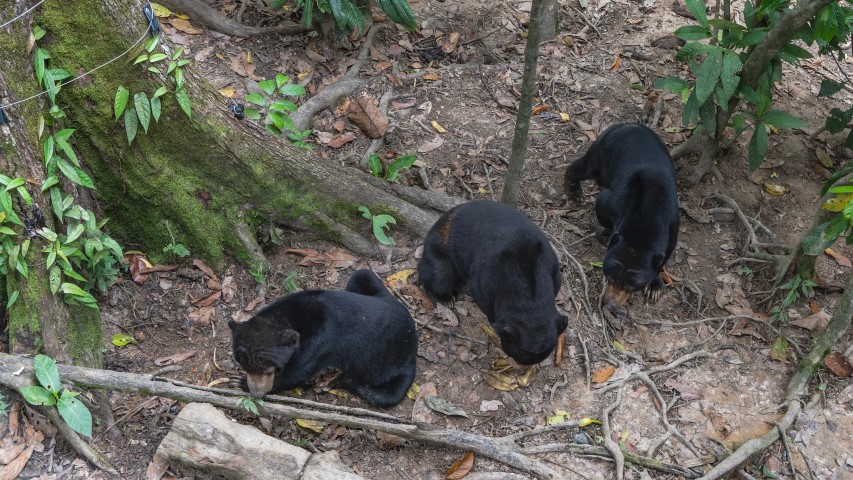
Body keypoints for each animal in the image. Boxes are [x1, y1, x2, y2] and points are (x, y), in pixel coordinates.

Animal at [228, 269, 418, 408]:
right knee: (362, 274)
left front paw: (240, 382)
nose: (256, 393)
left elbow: (297, 373)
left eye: (269, 371)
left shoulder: (319, 343)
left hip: (390, 365)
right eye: (244, 366)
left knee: (383, 395)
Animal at [417, 200, 568, 367]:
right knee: (440, 275)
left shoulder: (553, 271)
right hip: (439, 250)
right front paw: (493, 323)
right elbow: (485, 301)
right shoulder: (486, 277)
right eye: (515, 355)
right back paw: (445, 299)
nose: (520, 367)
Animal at [563, 123, 680, 310]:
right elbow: (602, 205)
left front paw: (654, 287)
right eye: (610, 277)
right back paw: (574, 190)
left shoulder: (672, 224)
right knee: (584, 168)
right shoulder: (615, 202)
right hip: (604, 150)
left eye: (632, 287)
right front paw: (606, 235)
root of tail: (629, 124)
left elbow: (667, 251)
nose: (609, 303)